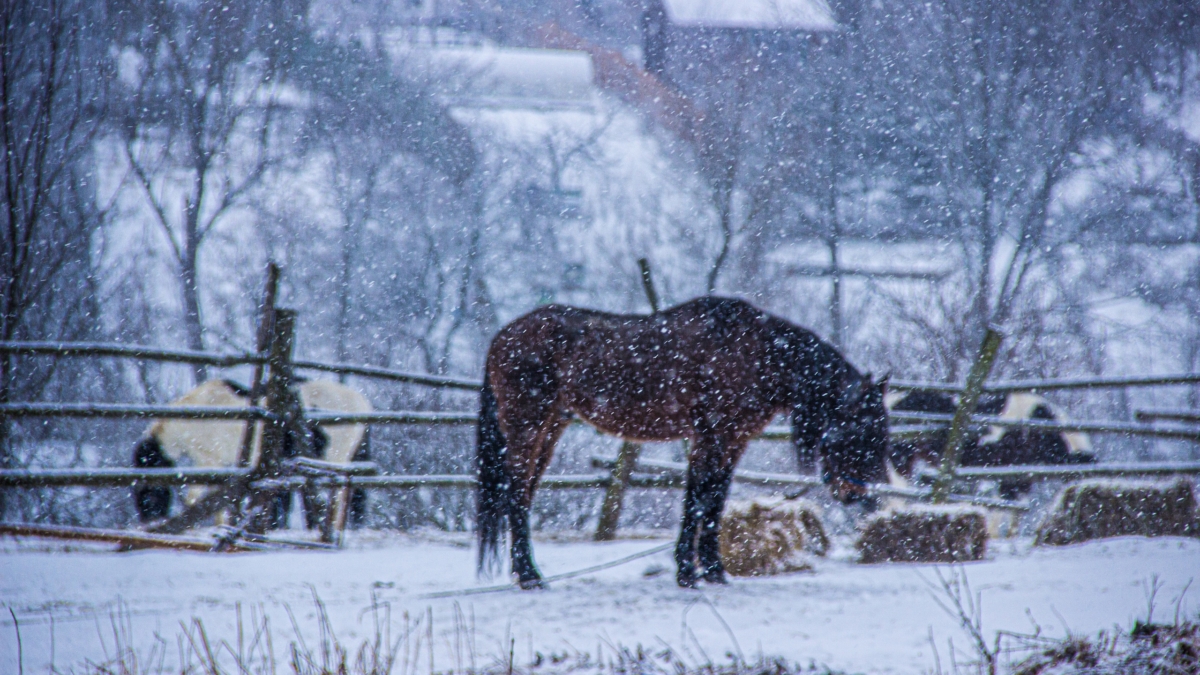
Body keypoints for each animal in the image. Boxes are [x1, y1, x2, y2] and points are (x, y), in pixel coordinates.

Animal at [133, 379, 372, 526]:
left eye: (148, 492)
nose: (147, 522)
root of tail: (362, 402)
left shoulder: (209, 460)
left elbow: (197, 499)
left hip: (335, 457)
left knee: (339, 494)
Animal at [472, 296, 888, 586]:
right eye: (861, 430)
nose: (858, 494)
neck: (757, 354)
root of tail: (501, 338)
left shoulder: (732, 442)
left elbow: (715, 500)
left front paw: (713, 570)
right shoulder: (710, 437)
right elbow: (698, 500)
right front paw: (688, 572)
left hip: (550, 427)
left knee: (523, 493)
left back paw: (525, 571)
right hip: (527, 426)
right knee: (515, 493)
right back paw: (529, 576)